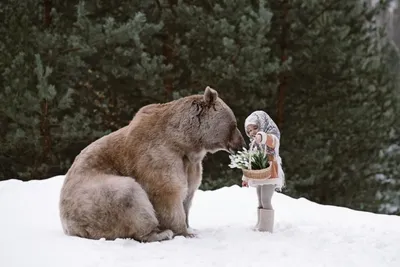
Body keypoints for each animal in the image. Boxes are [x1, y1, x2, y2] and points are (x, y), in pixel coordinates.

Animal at [57, 86, 245, 243]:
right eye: (234, 124)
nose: (241, 144)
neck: (184, 142)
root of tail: (68, 228)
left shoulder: (191, 165)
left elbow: (189, 192)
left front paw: (190, 226)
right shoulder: (159, 155)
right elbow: (167, 192)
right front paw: (184, 231)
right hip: (93, 197)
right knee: (128, 196)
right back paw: (159, 233)